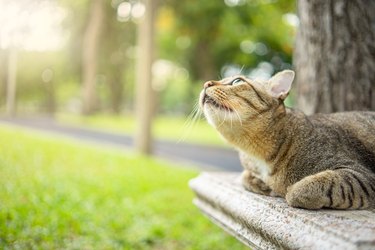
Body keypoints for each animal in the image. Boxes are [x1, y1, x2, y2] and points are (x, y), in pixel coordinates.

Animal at [200, 70, 375, 209]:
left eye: (237, 81)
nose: (206, 83)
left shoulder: (360, 174)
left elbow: (300, 190)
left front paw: (285, 189)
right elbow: (244, 176)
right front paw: (263, 184)